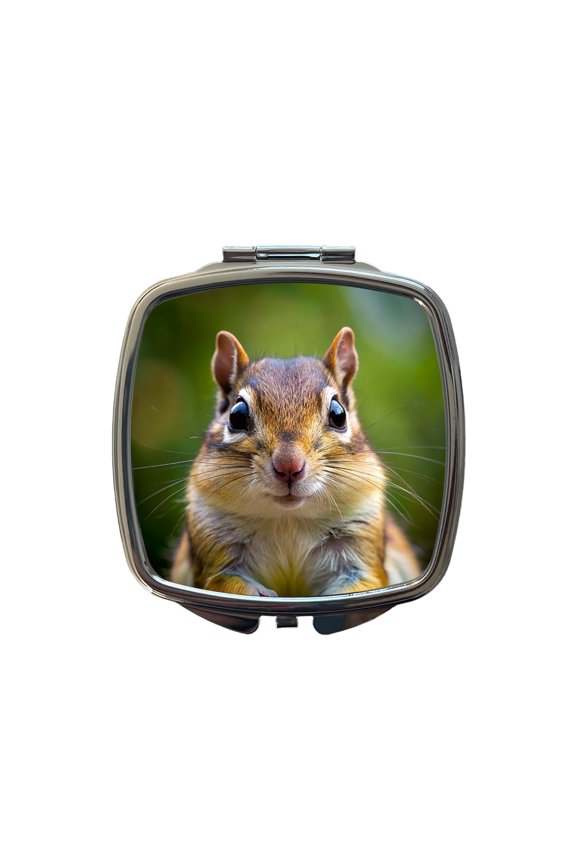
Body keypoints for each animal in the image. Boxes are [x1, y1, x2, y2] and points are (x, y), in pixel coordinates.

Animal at [170, 327, 420, 596]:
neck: (287, 519)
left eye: (338, 414)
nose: (289, 466)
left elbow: (365, 580)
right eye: (236, 416)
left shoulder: (361, 539)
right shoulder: (213, 541)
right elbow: (221, 581)